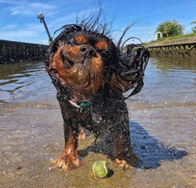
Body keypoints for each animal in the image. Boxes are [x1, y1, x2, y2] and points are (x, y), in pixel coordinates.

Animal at [44, 15, 149, 170]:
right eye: (74, 41)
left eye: (104, 52)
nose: (88, 50)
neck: (84, 92)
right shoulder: (67, 113)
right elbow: (70, 135)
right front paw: (68, 157)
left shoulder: (120, 111)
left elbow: (122, 134)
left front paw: (124, 156)